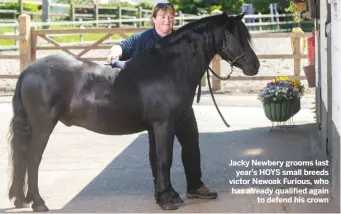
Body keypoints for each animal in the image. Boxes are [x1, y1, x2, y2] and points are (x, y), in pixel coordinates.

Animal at [7, 12, 258, 211]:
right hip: (42, 126)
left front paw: (167, 195)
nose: (254, 66)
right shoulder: (164, 125)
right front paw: (167, 201)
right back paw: (38, 203)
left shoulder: (157, 128)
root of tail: (28, 71)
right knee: (33, 159)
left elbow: (159, 159)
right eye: (236, 36)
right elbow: (165, 159)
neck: (168, 68)